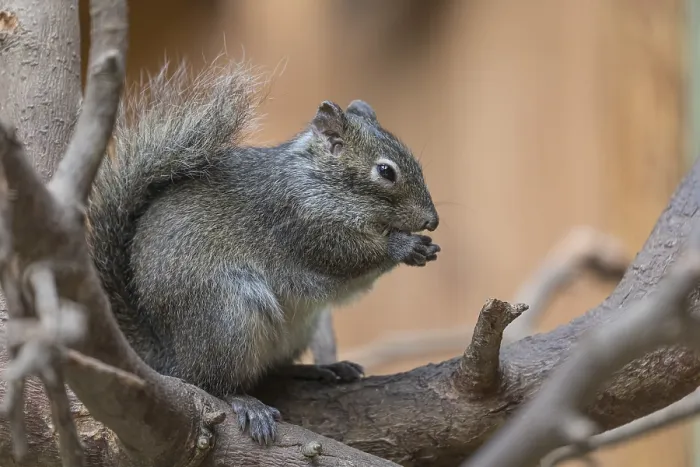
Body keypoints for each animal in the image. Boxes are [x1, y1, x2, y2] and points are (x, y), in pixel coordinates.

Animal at [86, 61, 441, 445]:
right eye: (386, 171)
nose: (432, 221)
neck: (318, 180)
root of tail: (169, 359)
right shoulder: (300, 224)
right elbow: (349, 256)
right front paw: (404, 246)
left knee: (271, 370)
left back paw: (320, 369)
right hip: (228, 317)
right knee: (212, 382)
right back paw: (245, 402)